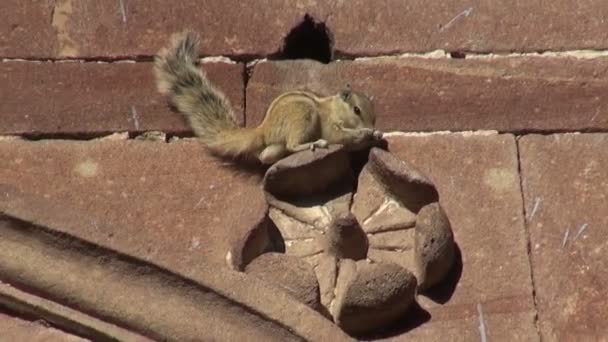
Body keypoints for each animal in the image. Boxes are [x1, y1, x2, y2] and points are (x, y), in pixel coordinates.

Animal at [153, 31, 380, 165]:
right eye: (356, 110)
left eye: (374, 114)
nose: (371, 126)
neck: (334, 108)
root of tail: (263, 130)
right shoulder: (331, 126)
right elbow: (340, 136)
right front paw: (364, 132)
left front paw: (375, 134)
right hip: (302, 117)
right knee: (292, 144)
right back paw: (312, 144)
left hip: (275, 147)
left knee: (266, 157)